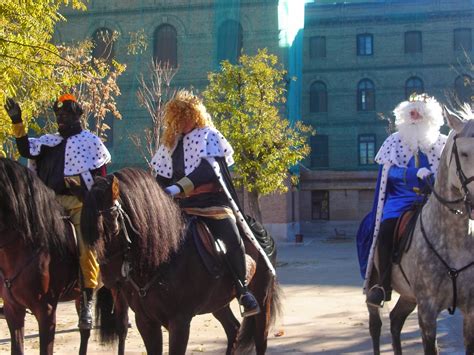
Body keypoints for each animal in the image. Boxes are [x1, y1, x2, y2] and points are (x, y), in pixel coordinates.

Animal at [81, 168, 282, 354]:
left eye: (113, 222)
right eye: (86, 227)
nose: (109, 278)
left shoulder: (180, 322)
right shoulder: (145, 321)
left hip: (262, 298)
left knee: (260, 338)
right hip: (218, 302)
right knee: (233, 328)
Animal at [368, 110, 474, 354]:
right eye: (464, 153)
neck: (455, 241)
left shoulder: (471, 311)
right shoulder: (427, 310)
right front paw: (422, 173)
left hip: (408, 296)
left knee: (396, 321)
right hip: (374, 287)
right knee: (376, 325)